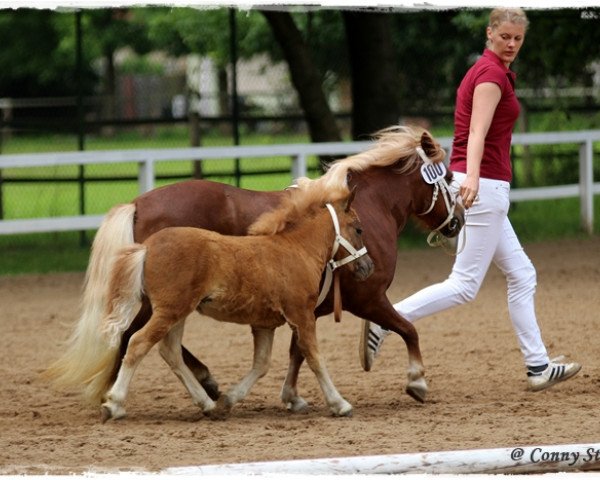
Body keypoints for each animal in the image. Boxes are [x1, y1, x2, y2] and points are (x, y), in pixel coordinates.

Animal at [45, 125, 464, 410]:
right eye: (447, 177)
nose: (459, 220)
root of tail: (138, 203)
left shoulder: (304, 308)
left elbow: (297, 352)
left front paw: (292, 396)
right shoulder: (369, 299)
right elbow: (408, 329)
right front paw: (417, 381)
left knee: (148, 341)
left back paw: (198, 385)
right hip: (162, 302)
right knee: (132, 337)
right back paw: (130, 391)